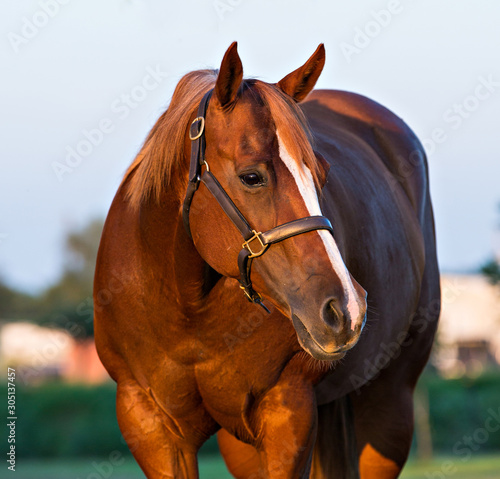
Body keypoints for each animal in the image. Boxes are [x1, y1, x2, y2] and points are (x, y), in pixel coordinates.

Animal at [93, 42, 438, 479]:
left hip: (388, 407)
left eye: (322, 175)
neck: (187, 310)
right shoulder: (150, 425)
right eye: (251, 176)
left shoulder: (287, 414)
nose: (346, 308)